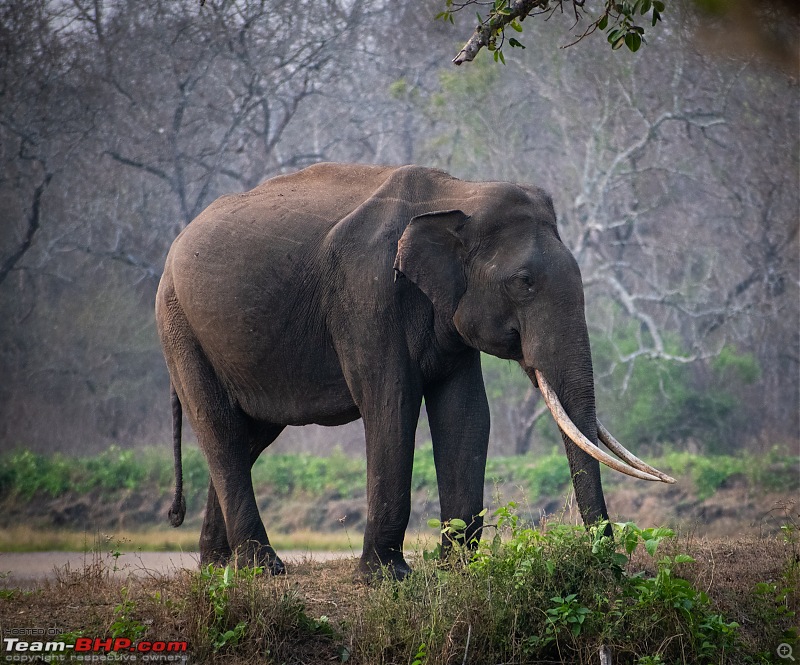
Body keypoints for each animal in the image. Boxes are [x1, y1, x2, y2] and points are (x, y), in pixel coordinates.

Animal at [153, 163, 672, 580]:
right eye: (523, 282)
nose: (611, 566)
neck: (459, 193)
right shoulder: (367, 293)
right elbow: (391, 405)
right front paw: (387, 578)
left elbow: (466, 414)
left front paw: (455, 568)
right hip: (179, 326)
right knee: (221, 428)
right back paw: (264, 569)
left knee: (251, 435)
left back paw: (219, 566)